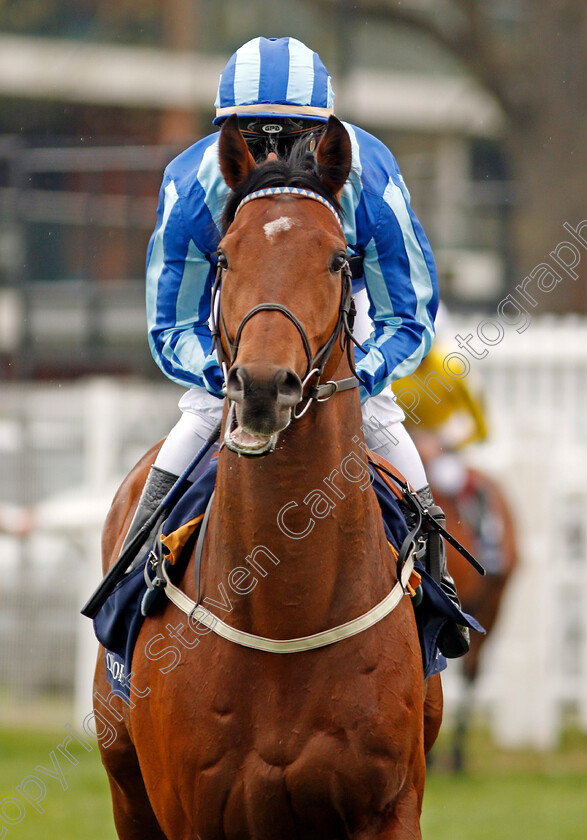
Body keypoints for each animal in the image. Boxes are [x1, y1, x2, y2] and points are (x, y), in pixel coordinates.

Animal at [92, 115, 440, 836]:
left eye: (340, 260)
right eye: (225, 257)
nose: (259, 386)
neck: (286, 611)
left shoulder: (388, 807)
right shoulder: (188, 812)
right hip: (127, 788)